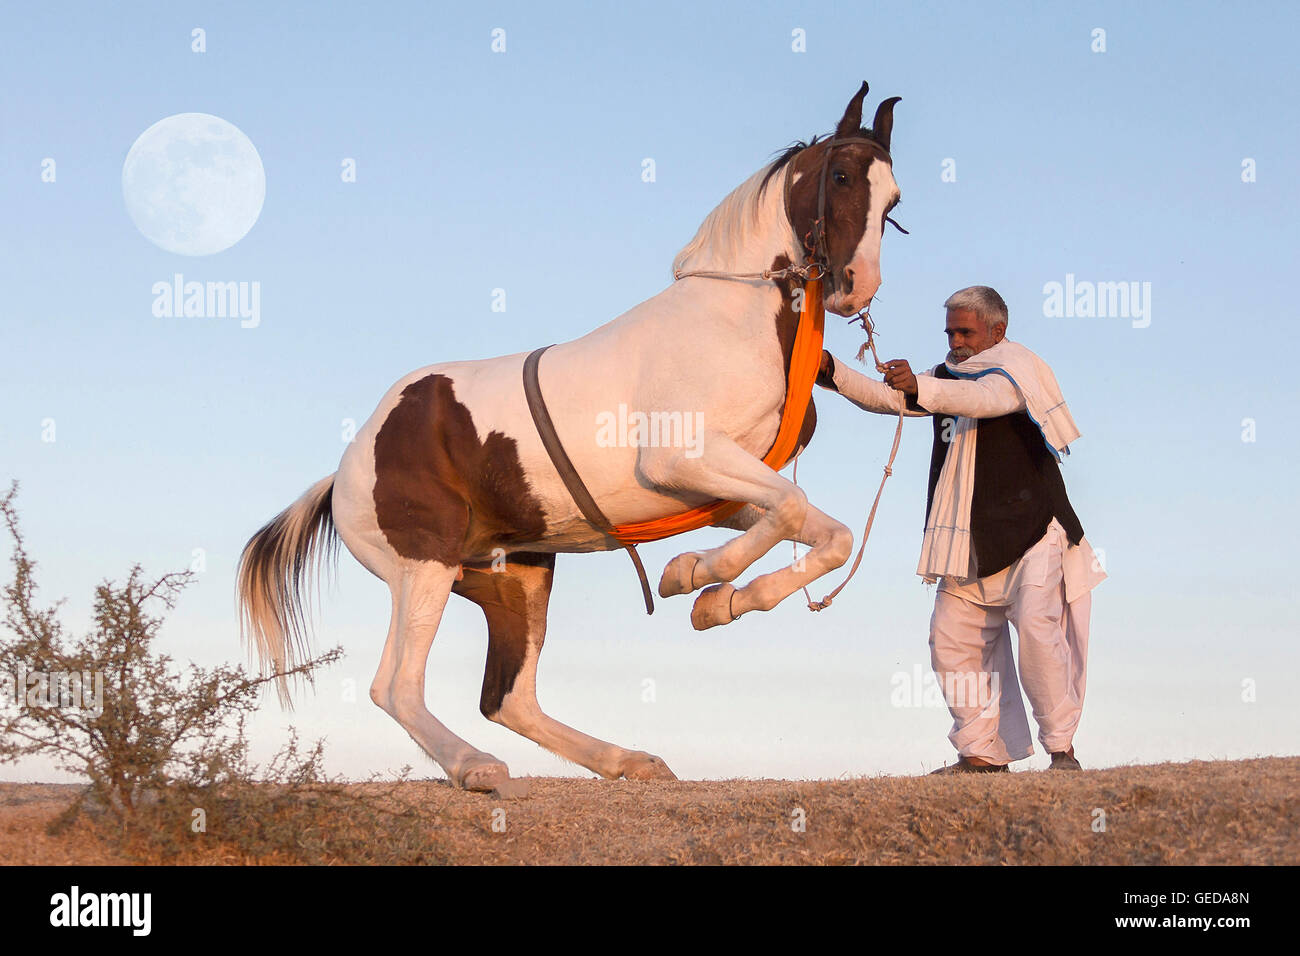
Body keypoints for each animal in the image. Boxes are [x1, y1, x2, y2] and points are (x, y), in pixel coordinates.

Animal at [237, 82, 904, 793]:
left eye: (893, 202)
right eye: (841, 177)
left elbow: (823, 530)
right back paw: (478, 768)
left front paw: (717, 599)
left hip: (515, 577)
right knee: (397, 686)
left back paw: (628, 760)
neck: (729, 319)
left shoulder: (724, 491)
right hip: (424, 566)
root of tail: (346, 470)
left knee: (509, 698)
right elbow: (794, 509)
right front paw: (693, 576)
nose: (856, 288)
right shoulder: (684, 460)